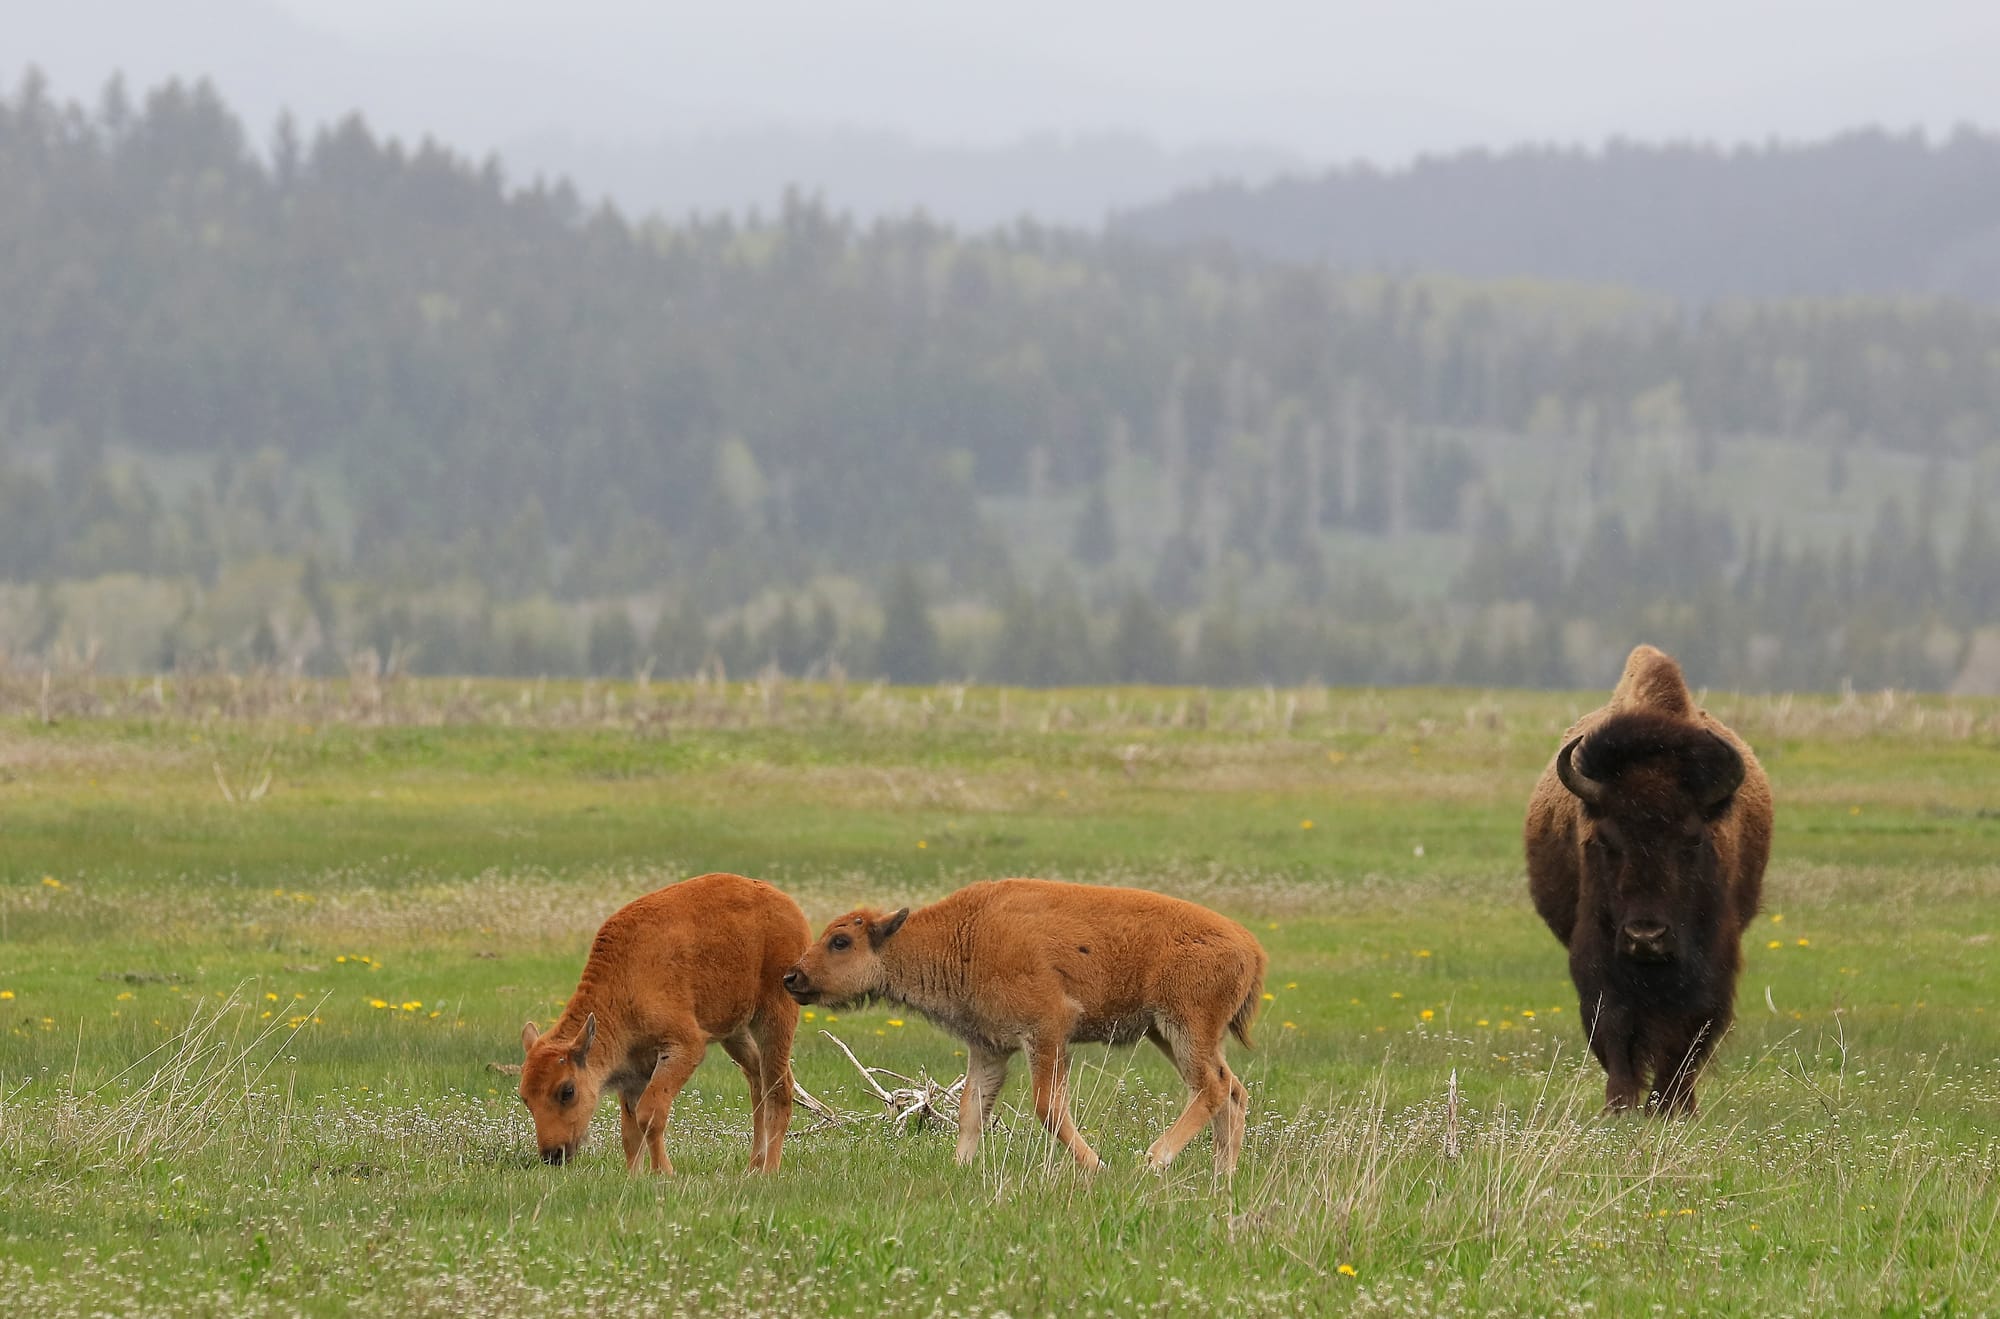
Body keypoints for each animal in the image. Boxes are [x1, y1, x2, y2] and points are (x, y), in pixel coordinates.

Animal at [520, 875, 808, 1175]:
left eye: (567, 1091)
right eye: (525, 1098)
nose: (553, 1154)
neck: (623, 983)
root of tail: (787, 905)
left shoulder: (684, 1047)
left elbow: (650, 1115)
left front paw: (664, 1172)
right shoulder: (633, 1072)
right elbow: (630, 1131)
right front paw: (634, 1175)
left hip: (775, 1016)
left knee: (778, 1089)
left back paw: (770, 1169)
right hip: (735, 1033)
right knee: (758, 1080)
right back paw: (754, 1165)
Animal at [780, 879, 1264, 1167]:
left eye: (841, 941)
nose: (791, 977)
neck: (963, 934)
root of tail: (1250, 946)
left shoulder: (1047, 1032)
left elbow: (1047, 1107)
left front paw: (1097, 1166)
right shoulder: (989, 1047)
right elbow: (971, 1110)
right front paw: (961, 1166)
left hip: (1184, 1027)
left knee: (1212, 1089)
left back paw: (1155, 1158)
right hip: (1170, 1034)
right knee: (1232, 1091)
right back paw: (1223, 1176)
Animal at [1520, 643, 1776, 1119]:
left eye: (1693, 839)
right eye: (1606, 840)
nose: (1646, 936)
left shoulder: (1710, 961)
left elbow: (1688, 1033)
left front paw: (1673, 1108)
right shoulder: (1599, 957)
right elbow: (1614, 1025)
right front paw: (1619, 1107)